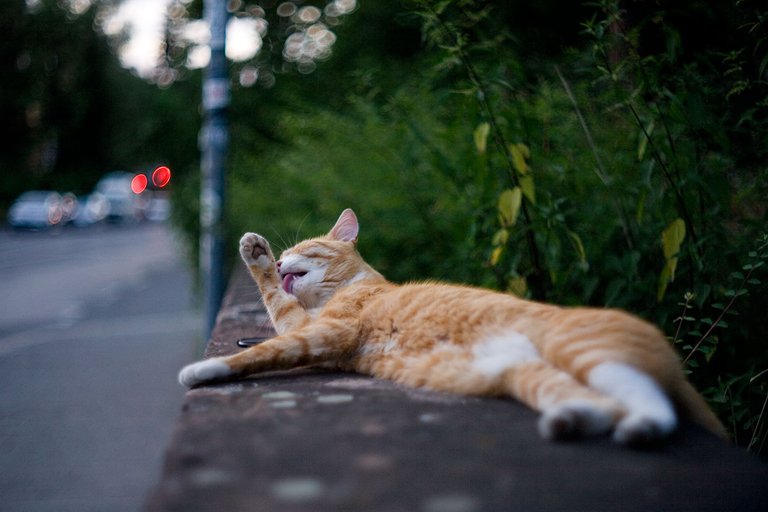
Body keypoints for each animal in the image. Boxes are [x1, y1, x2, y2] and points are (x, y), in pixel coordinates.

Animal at [180, 208, 728, 444]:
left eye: (304, 247)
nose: (284, 256)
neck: (356, 285)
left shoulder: (319, 330)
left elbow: (264, 321)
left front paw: (203, 368)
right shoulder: (311, 333)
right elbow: (273, 324)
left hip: (581, 349)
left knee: (650, 402)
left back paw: (640, 428)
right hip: (527, 373)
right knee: (601, 406)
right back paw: (568, 421)